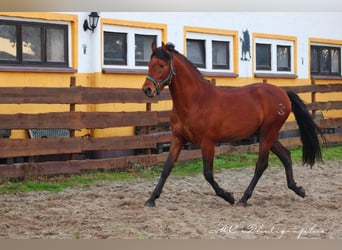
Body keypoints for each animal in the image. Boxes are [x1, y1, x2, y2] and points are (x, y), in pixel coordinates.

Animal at [141, 42, 324, 207]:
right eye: (149, 64)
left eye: (162, 65)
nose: (147, 90)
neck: (195, 101)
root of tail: (283, 93)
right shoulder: (178, 138)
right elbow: (167, 168)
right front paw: (151, 199)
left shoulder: (207, 142)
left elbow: (208, 173)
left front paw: (228, 196)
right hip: (266, 135)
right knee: (285, 155)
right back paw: (298, 189)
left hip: (268, 133)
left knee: (261, 164)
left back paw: (244, 198)